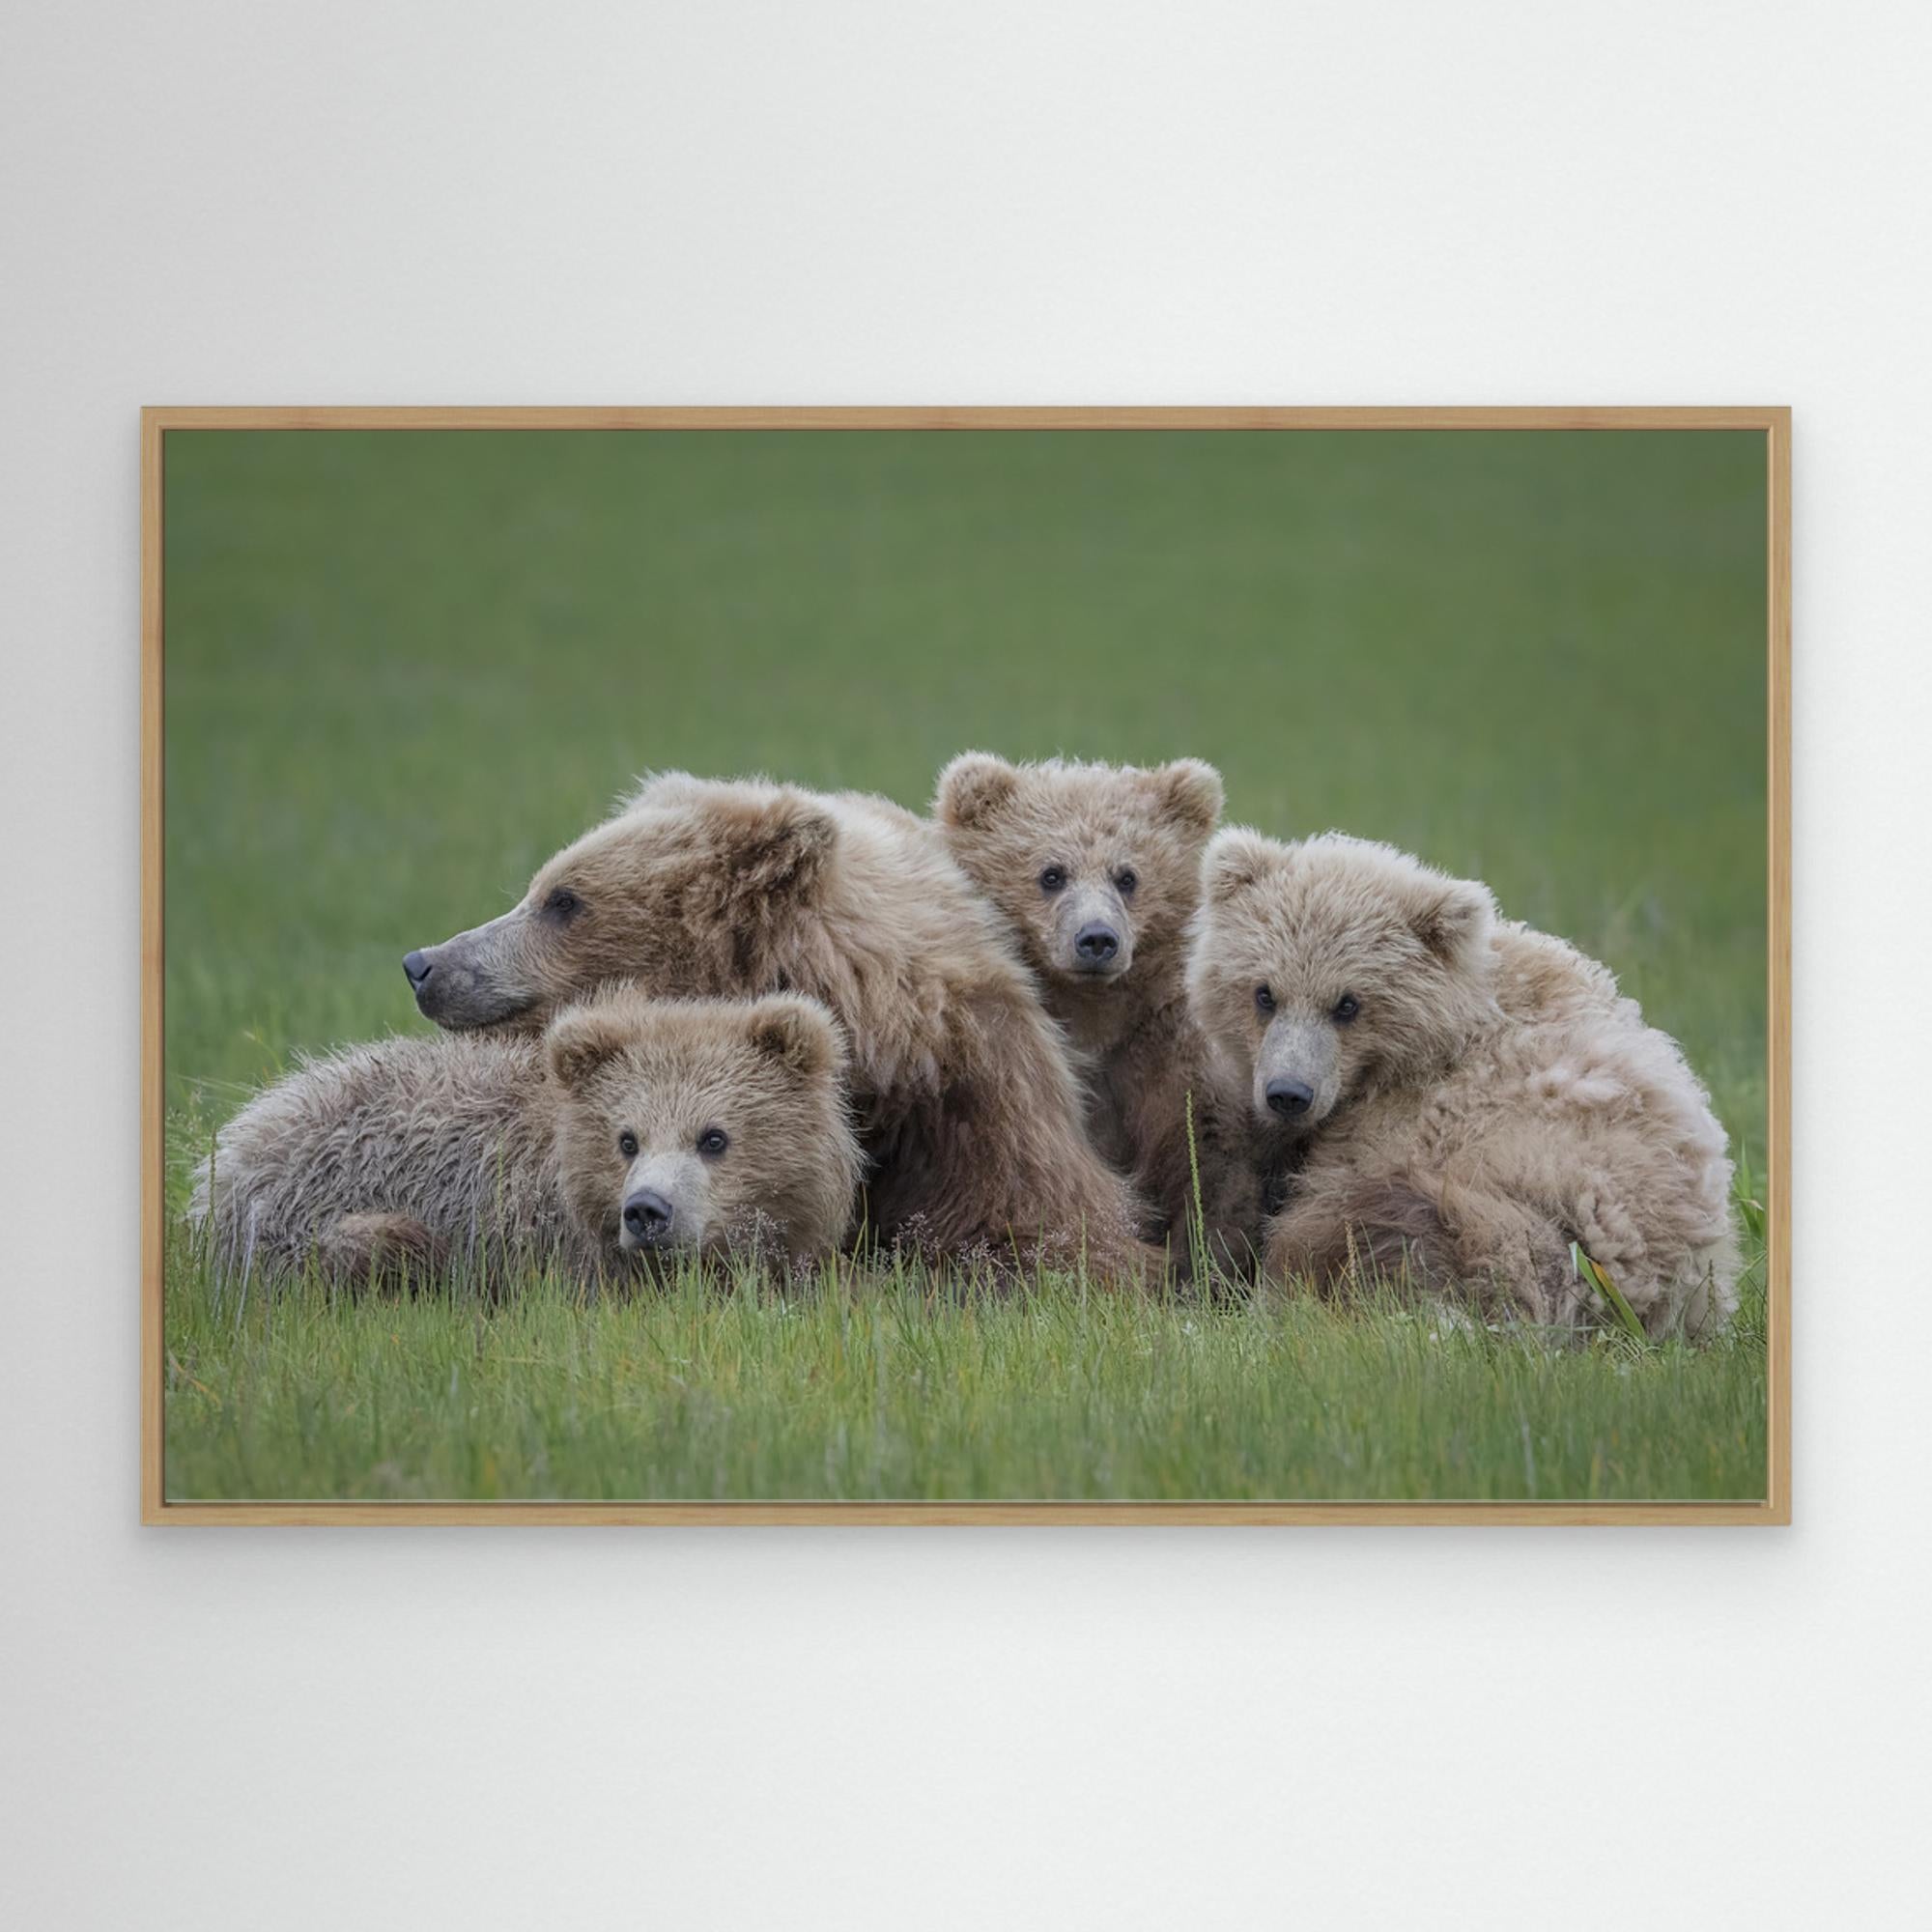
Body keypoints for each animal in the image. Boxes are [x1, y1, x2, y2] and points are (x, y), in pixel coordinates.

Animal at [934, 753, 1268, 1270]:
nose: (1096, 939)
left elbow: (1205, 1152)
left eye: (1127, 876)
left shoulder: (1160, 1049)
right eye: (1052, 873)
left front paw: (1203, 1257)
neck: (1092, 1015)